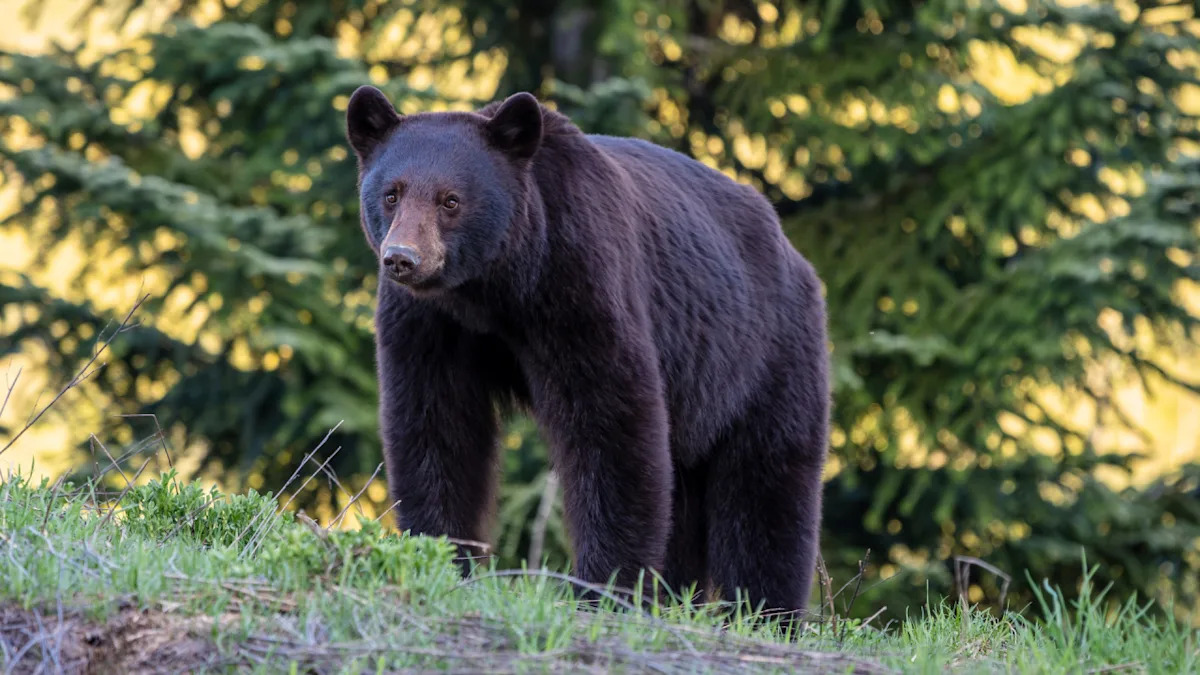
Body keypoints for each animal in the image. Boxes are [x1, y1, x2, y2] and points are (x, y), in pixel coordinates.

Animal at [345, 86, 830, 618]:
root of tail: (795, 255)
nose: (402, 259)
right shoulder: (430, 326)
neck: (492, 290)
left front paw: (605, 586)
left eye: (451, 200)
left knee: (767, 482)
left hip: (763, 353)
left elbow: (609, 424)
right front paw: (442, 556)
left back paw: (768, 612)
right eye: (391, 194)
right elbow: (436, 428)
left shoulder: (580, 281)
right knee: (685, 493)